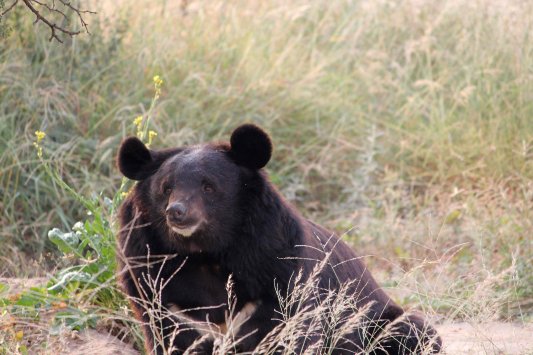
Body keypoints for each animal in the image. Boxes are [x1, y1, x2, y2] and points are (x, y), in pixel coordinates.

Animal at [116, 124, 440, 354]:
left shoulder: (277, 265)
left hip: (377, 319)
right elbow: (171, 333)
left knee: (414, 333)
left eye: (209, 187)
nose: (177, 212)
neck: (205, 254)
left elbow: (292, 332)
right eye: (166, 188)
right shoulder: (152, 283)